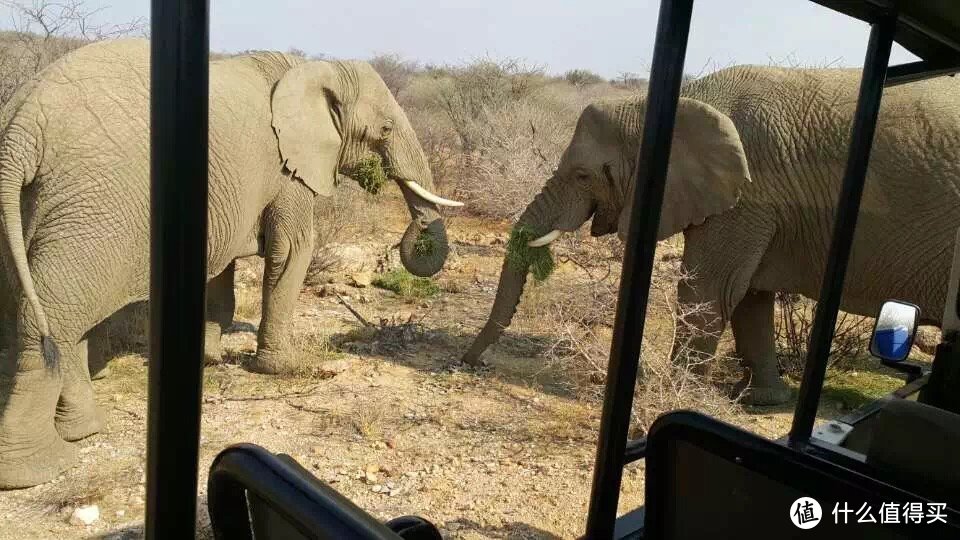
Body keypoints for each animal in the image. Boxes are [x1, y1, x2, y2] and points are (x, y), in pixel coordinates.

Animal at [0, 35, 462, 488]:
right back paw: (41, 469)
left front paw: (208, 358)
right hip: (94, 210)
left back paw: (84, 429)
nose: (415, 234)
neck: (316, 70)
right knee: (52, 317)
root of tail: (22, 128)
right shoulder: (286, 170)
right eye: (384, 129)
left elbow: (218, 268)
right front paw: (284, 367)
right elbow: (293, 250)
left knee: (58, 315)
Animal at [460, 64, 960, 404]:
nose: (469, 362)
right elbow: (751, 296)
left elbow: (710, 288)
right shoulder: (764, 203)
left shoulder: (750, 191)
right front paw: (762, 401)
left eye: (584, 175)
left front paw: (669, 391)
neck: (678, 98)